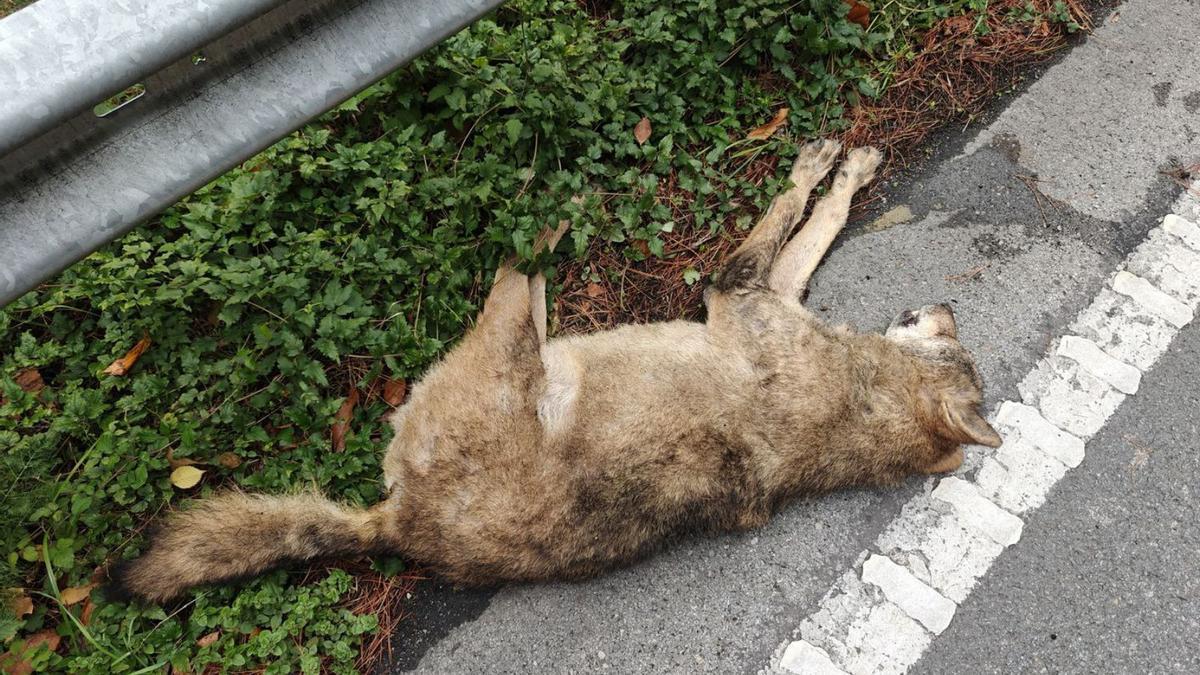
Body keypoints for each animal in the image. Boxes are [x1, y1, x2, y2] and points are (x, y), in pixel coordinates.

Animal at [108, 140, 1001, 603]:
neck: (863, 399)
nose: (945, 300)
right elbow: (816, 219)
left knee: (519, 258)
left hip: (516, 339)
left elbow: (789, 206)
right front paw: (846, 164)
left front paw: (821, 163)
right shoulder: (766, 289)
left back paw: (541, 188)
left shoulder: (734, 289)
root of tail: (394, 525)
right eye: (953, 332)